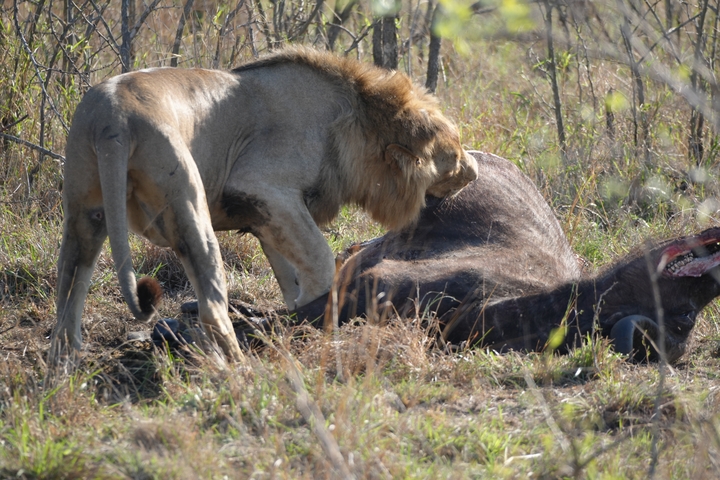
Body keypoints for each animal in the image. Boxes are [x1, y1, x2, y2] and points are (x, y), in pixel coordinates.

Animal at [52, 46, 478, 362]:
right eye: (455, 153)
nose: (475, 170)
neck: (353, 123)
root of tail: (114, 118)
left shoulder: (267, 212)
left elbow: (290, 273)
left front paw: (293, 312)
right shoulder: (262, 184)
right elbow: (320, 260)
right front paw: (313, 319)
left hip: (84, 213)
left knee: (68, 291)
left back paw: (66, 362)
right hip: (189, 204)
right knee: (211, 305)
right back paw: (237, 367)